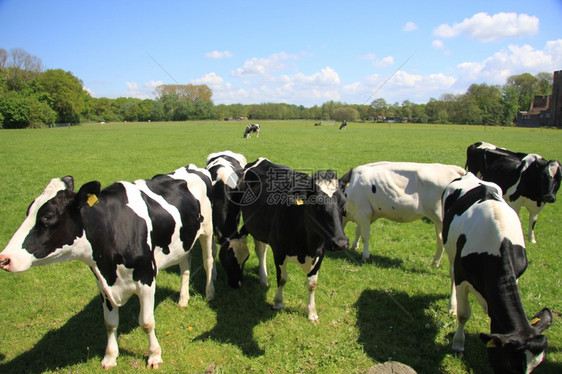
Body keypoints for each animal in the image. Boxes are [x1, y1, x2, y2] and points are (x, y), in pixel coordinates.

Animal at [0, 165, 214, 370]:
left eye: (48, 216)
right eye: (28, 211)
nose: (5, 259)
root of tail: (191, 167)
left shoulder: (146, 277)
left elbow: (146, 322)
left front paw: (154, 355)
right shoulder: (103, 284)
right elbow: (110, 323)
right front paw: (110, 357)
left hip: (207, 231)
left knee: (208, 261)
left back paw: (209, 293)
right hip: (183, 241)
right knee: (185, 266)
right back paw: (183, 300)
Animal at [223, 158, 346, 322]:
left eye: (343, 203)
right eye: (316, 204)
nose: (341, 243)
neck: (307, 247)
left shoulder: (320, 253)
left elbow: (312, 284)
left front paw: (312, 312)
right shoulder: (279, 252)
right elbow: (282, 279)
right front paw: (278, 302)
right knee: (260, 251)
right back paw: (263, 278)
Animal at [440, 172, 548, 374]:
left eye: (534, 367)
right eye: (512, 364)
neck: (498, 247)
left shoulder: (516, 276)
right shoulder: (462, 278)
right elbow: (464, 314)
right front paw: (458, 343)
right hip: (449, 249)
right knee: (451, 274)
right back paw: (452, 305)